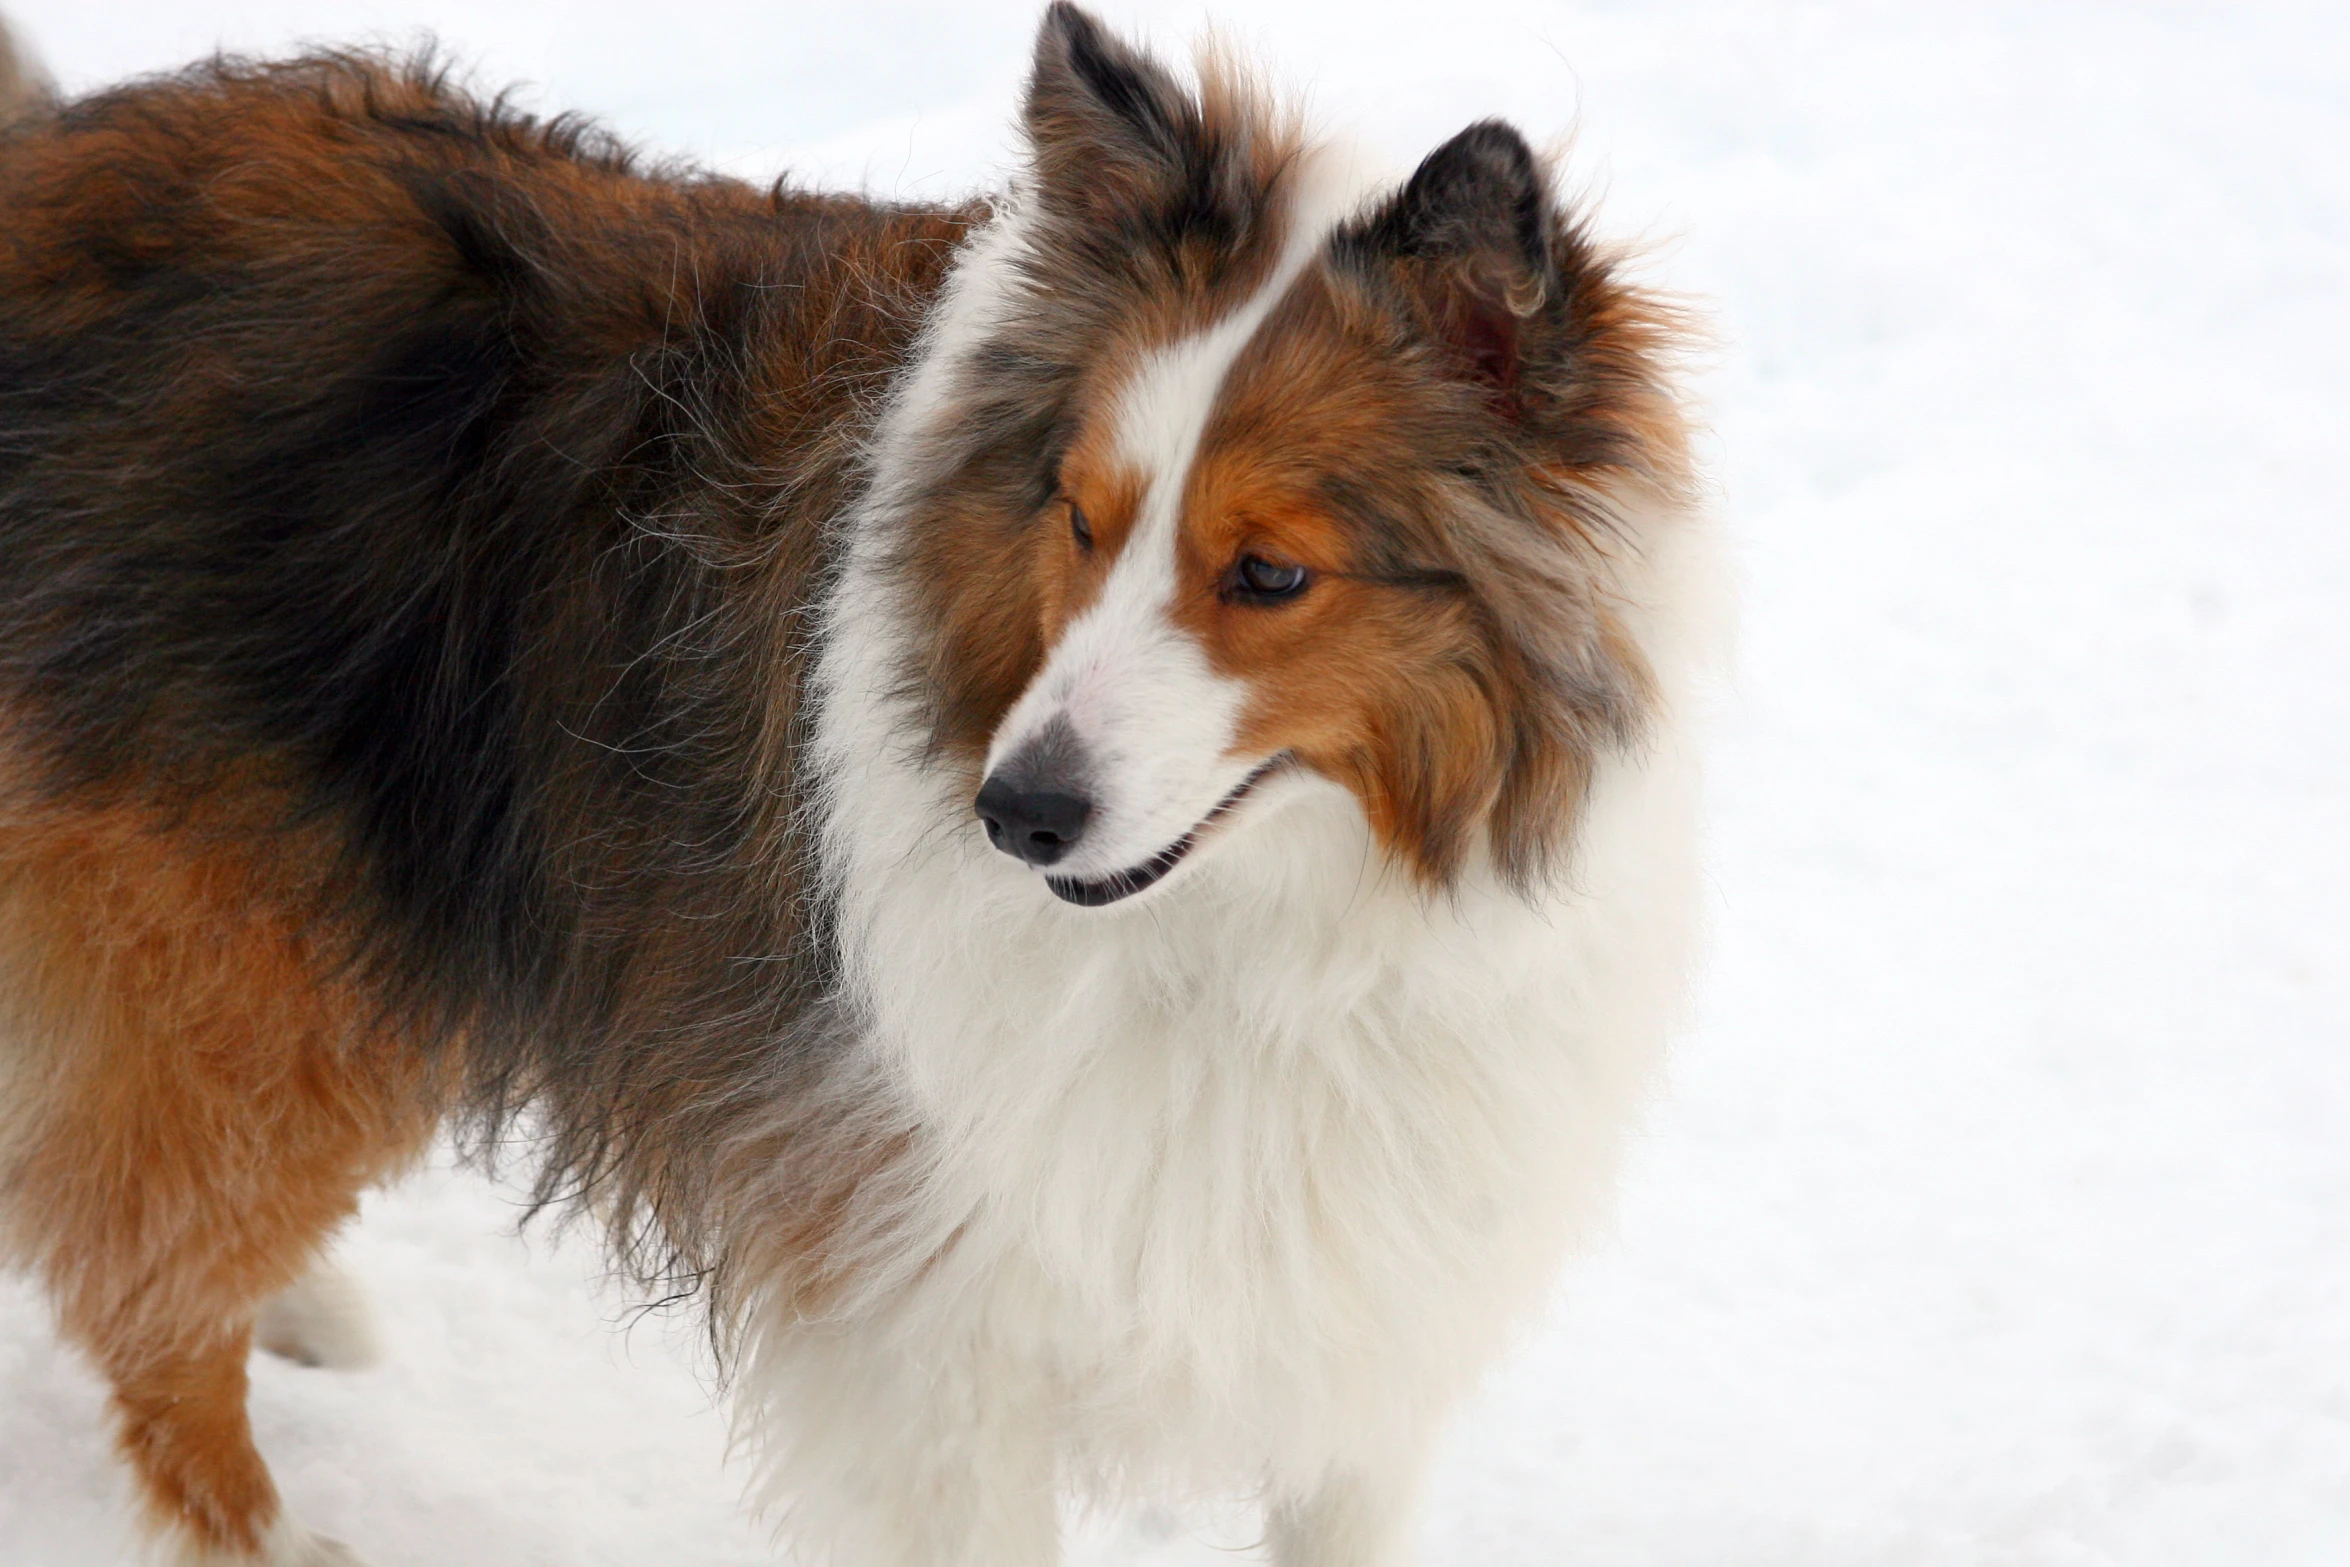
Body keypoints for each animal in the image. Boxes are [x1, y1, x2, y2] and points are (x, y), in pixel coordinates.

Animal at [0, 6, 1729, 1559]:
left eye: (1267, 571)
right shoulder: (933, 1325)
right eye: (1080, 517)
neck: (1264, 926)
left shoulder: (1355, 1333)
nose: (1015, 813)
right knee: (140, 1275)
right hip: (260, 956)